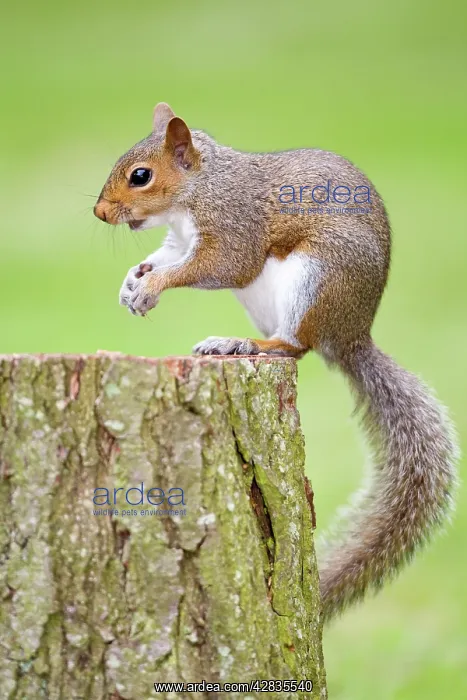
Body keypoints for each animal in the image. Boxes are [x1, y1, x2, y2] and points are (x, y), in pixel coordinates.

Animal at [94, 102, 458, 623]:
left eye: (140, 176)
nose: (100, 212)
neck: (201, 188)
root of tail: (350, 338)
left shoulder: (234, 228)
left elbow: (216, 265)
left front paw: (151, 287)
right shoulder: (179, 241)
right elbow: (165, 256)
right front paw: (133, 279)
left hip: (316, 278)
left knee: (294, 347)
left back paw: (241, 345)